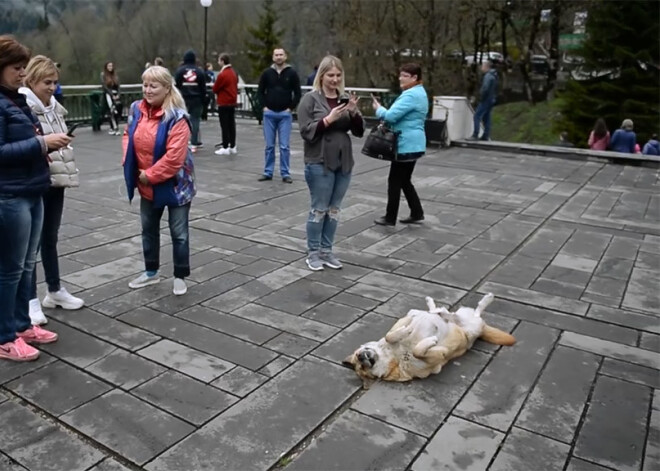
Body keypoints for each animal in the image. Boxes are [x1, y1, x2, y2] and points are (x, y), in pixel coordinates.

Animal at [342, 294, 520, 390]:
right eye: (362, 368)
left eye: (358, 357)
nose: (362, 357)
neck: (395, 357)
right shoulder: (438, 358)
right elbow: (418, 351)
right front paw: (429, 340)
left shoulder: (399, 324)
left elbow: (389, 335)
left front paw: (407, 330)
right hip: (471, 330)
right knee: (471, 314)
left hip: (464, 321)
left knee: (463, 311)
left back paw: (439, 309)